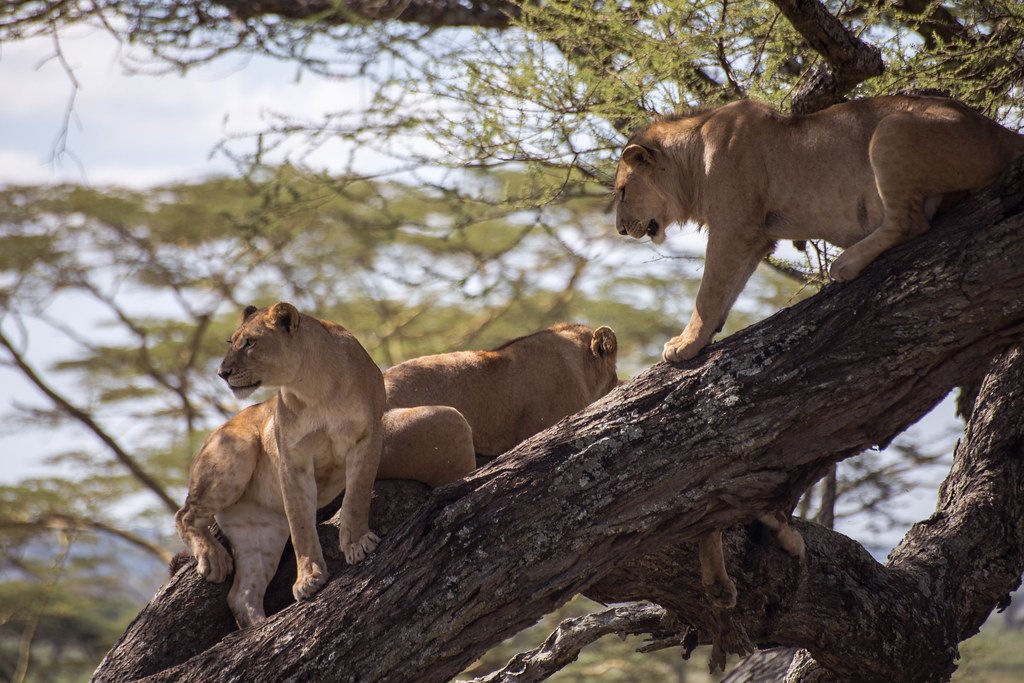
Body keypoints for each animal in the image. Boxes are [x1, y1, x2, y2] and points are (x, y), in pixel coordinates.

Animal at [175, 302, 385, 628]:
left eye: (250, 342)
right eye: (231, 341)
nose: (222, 373)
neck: (314, 386)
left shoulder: (368, 437)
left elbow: (357, 496)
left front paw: (357, 544)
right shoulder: (292, 459)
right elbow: (301, 525)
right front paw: (309, 579)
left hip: (261, 531)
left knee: (241, 594)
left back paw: (258, 629)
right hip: (236, 450)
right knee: (185, 514)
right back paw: (214, 559)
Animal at [614, 95, 1024, 364]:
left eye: (621, 191)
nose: (619, 230)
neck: (693, 157)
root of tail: (999, 130)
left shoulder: (734, 227)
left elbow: (709, 292)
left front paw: (685, 344)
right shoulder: (757, 237)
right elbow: (725, 292)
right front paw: (702, 339)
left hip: (891, 129)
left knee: (909, 220)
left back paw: (845, 264)